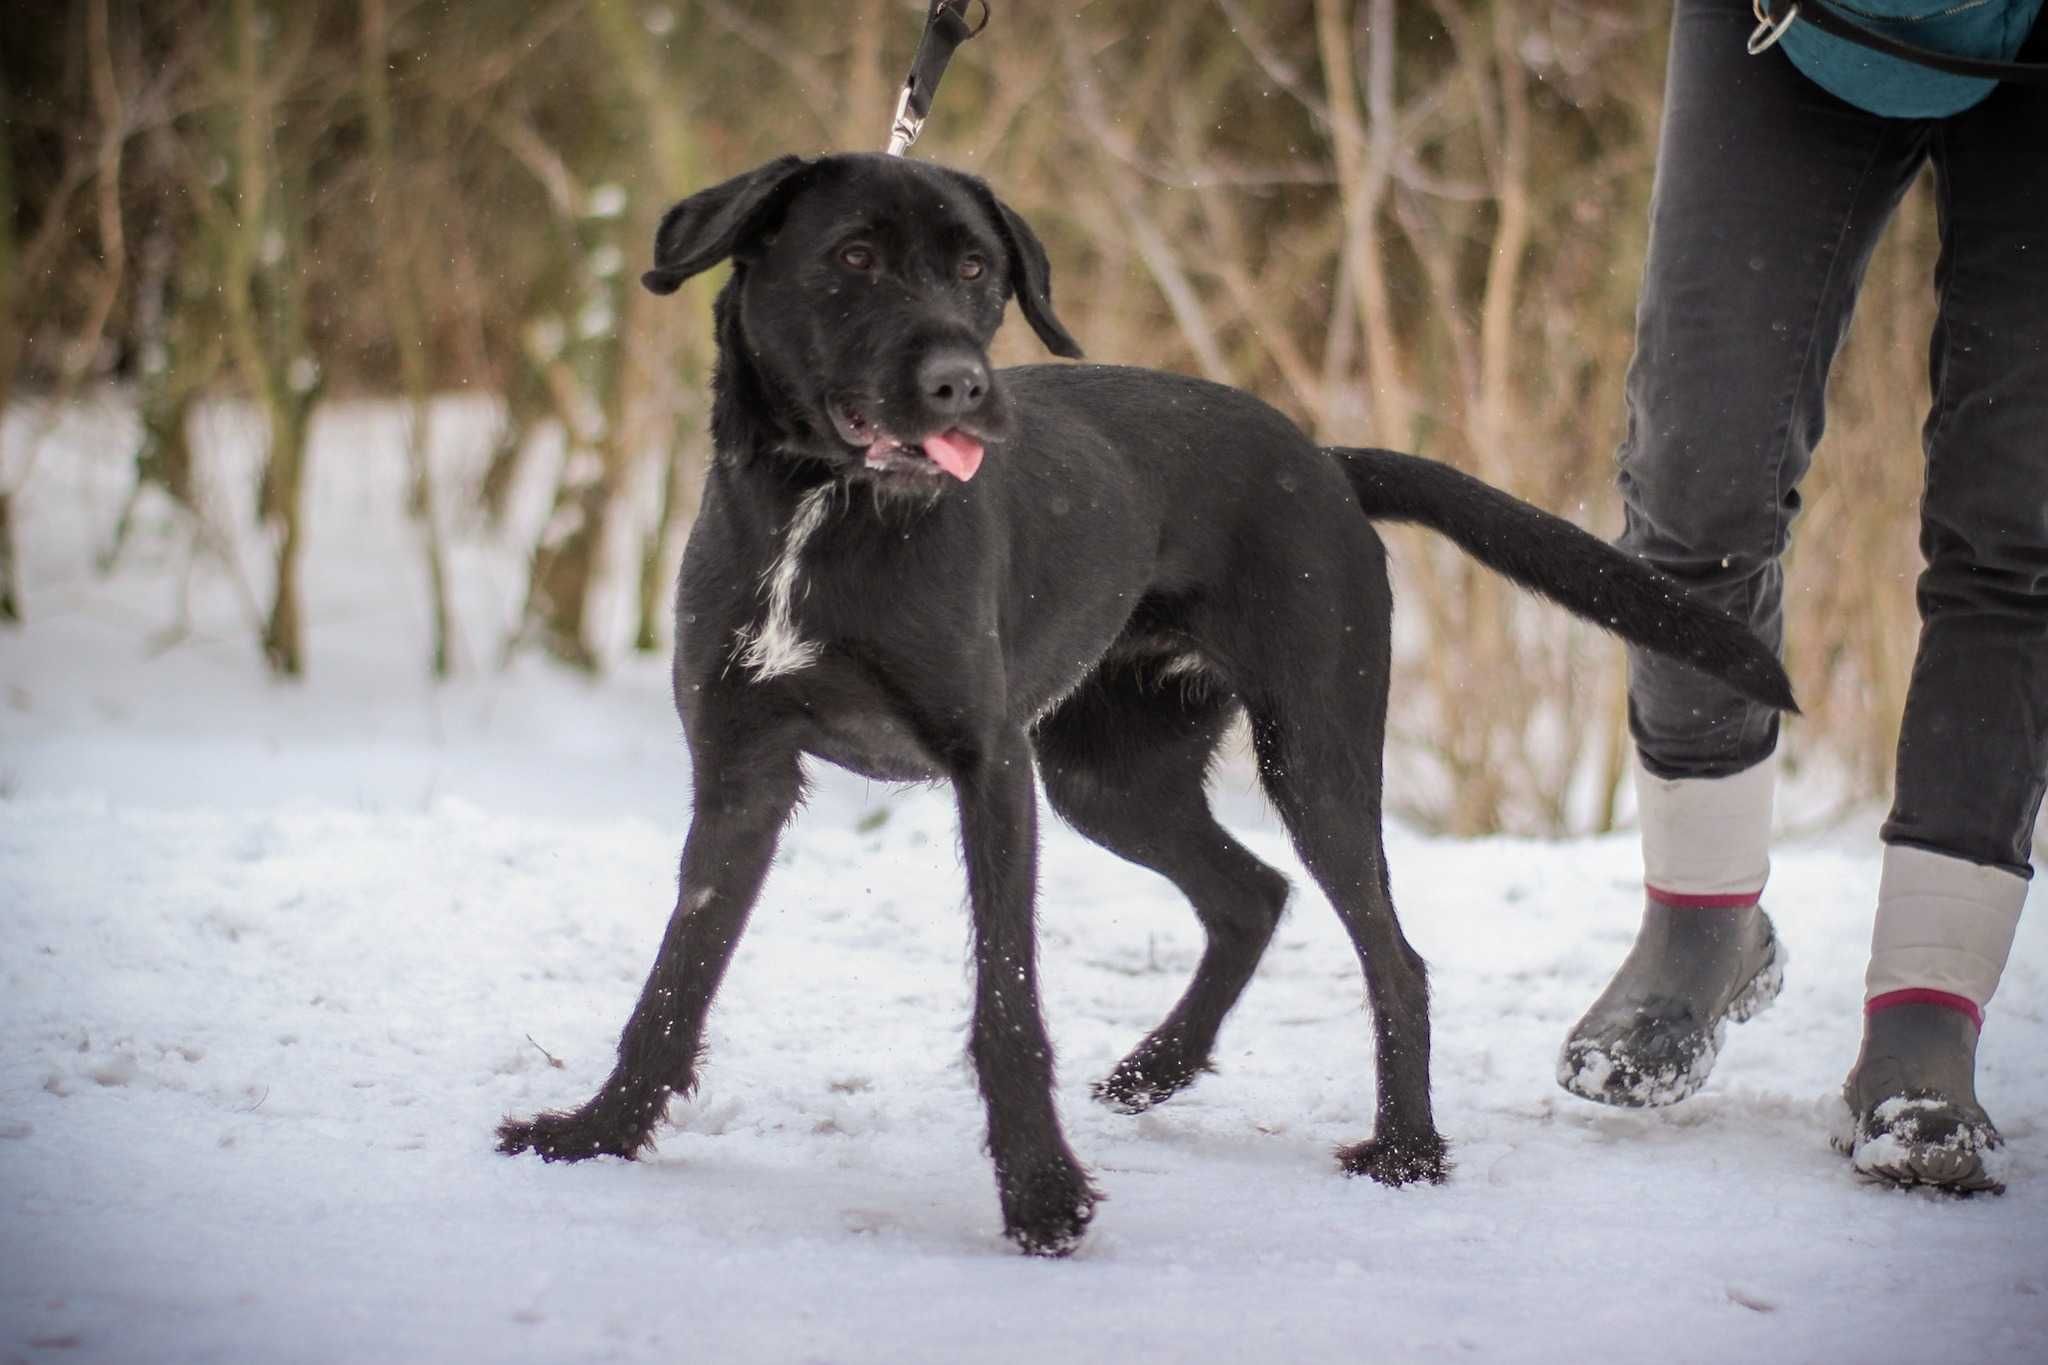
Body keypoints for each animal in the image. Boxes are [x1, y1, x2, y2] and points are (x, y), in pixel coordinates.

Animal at [499, 152, 1794, 1260]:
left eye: (977, 271)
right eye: (853, 257)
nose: (961, 387)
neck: (827, 508)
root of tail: (1325, 461)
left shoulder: (988, 771)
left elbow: (1005, 1002)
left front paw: (1038, 1193)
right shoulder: (741, 772)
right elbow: (677, 973)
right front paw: (599, 1128)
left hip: (1310, 753)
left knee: (1391, 954)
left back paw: (1405, 1149)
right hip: (1109, 776)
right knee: (1249, 895)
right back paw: (1160, 1066)